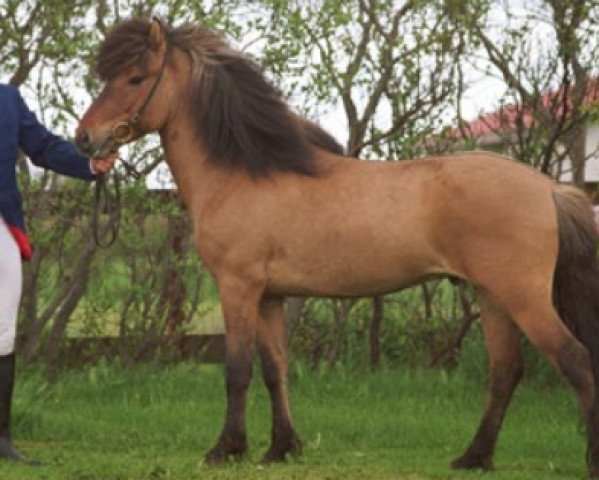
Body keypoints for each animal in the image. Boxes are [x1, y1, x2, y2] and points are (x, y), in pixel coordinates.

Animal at [77, 17, 599, 476]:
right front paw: (281, 448)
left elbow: (237, 370)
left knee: (574, 360)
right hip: (491, 296)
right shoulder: (269, 297)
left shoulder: (237, 288)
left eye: (135, 77)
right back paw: (472, 458)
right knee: (506, 371)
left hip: (523, 297)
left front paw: (226, 449)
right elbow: (276, 369)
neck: (243, 174)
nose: (86, 139)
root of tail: (548, 188)